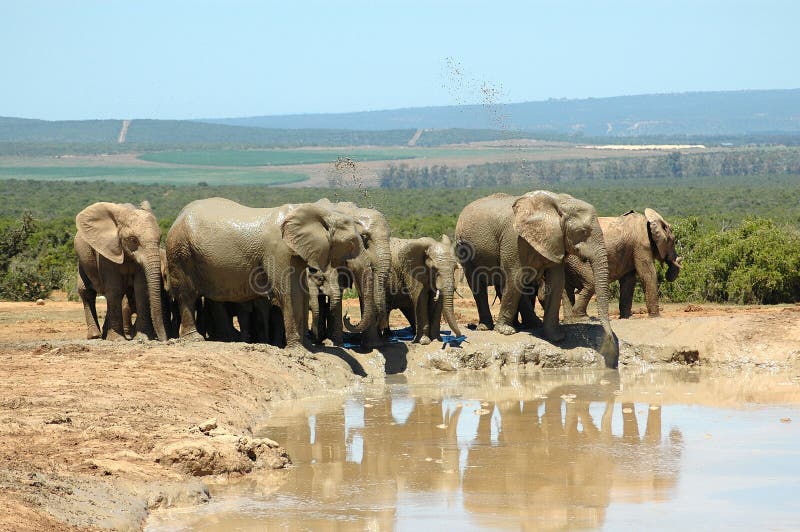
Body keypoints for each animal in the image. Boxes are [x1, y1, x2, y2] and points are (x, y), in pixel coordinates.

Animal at [75, 200, 169, 340]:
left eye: (160, 238)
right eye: (133, 240)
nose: (164, 339)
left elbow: (140, 288)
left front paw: (142, 337)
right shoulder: (106, 250)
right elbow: (114, 289)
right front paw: (117, 338)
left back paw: (105, 334)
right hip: (82, 259)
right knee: (86, 291)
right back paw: (95, 336)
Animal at [166, 197, 366, 348]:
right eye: (353, 242)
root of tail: (178, 216)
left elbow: (301, 294)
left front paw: (308, 347)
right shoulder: (279, 250)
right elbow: (289, 293)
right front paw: (298, 349)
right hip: (180, 251)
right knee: (187, 294)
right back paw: (195, 339)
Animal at [456, 191, 620, 370]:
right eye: (583, 231)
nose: (609, 343)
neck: (557, 204)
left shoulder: (555, 241)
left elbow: (556, 282)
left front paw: (556, 337)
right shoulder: (514, 239)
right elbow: (515, 276)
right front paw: (506, 332)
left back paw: (532, 324)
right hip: (464, 248)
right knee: (478, 285)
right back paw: (486, 328)